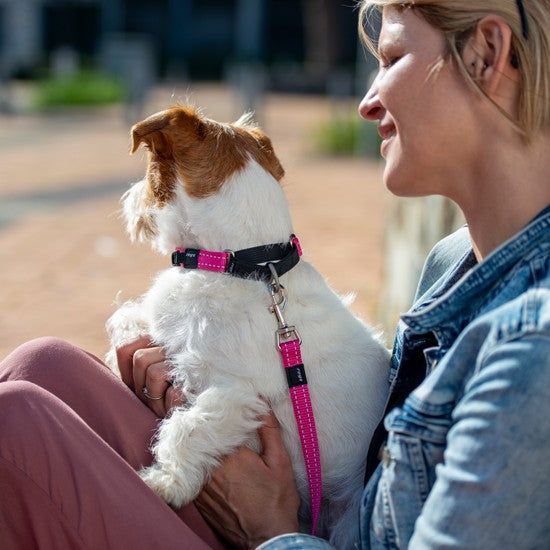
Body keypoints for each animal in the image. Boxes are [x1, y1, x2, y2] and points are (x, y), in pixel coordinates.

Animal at [106, 106, 392, 548]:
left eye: (152, 173)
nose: (129, 198)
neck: (244, 263)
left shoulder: (235, 395)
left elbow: (185, 429)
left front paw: (165, 483)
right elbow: (127, 319)